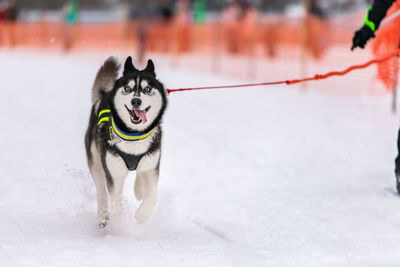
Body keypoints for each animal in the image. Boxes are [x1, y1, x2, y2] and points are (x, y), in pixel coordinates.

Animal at [84, 57, 167, 228]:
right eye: (128, 88)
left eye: (147, 89)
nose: (136, 101)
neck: (133, 135)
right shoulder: (114, 172)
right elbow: (115, 201)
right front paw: (120, 223)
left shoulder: (152, 167)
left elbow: (153, 196)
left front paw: (142, 216)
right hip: (95, 161)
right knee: (101, 190)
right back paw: (103, 216)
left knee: (140, 174)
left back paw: (139, 190)